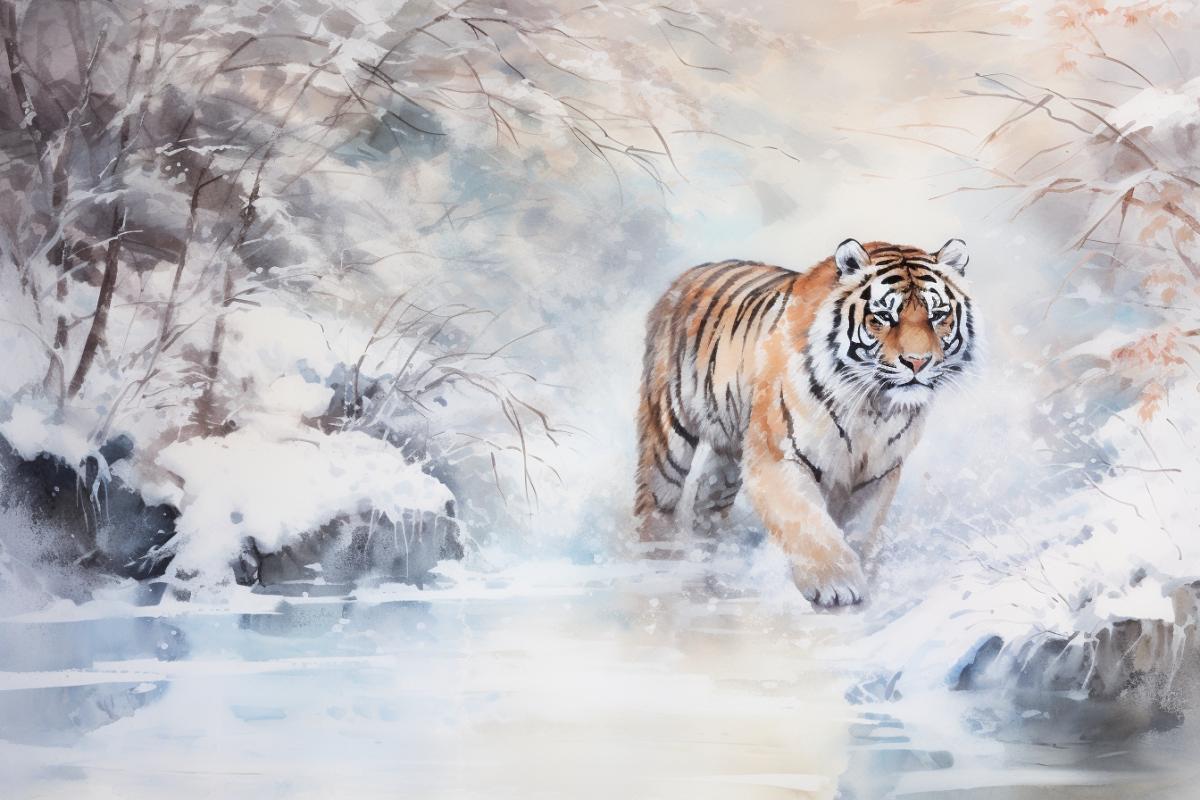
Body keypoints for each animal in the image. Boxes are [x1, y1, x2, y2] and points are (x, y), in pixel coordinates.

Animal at [635, 238, 975, 607]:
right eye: (884, 316)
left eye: (937, 315)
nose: (917, 362)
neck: (873, 404)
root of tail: (685, 276)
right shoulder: (777, 457)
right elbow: (809, 523)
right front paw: (837, 586)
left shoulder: (878, 472)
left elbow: (859, 528)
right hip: (667, 439)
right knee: (653, 503)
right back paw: (656, 561)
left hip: (727, 456)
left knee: (706, 503)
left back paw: (711, 556)